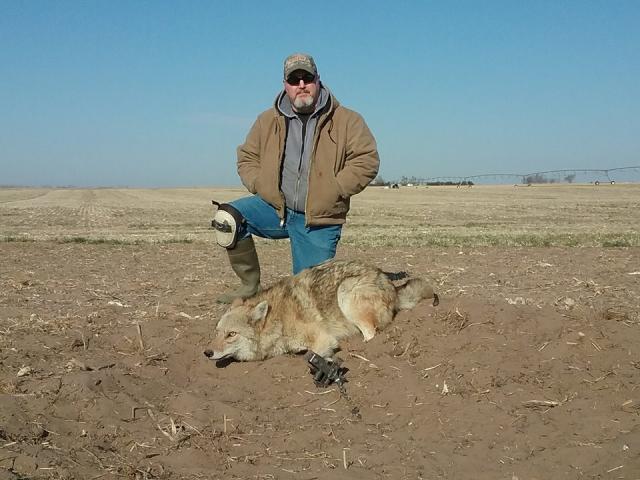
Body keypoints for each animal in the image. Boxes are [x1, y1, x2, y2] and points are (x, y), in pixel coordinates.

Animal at [204, 260, 439, 362]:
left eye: (231, 334)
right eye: (216, 332)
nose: (207, 352)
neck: (278, 320)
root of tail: (389, 283)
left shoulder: (323, 339)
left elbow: (313, 353)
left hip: (345, 292)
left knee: (371, 334)